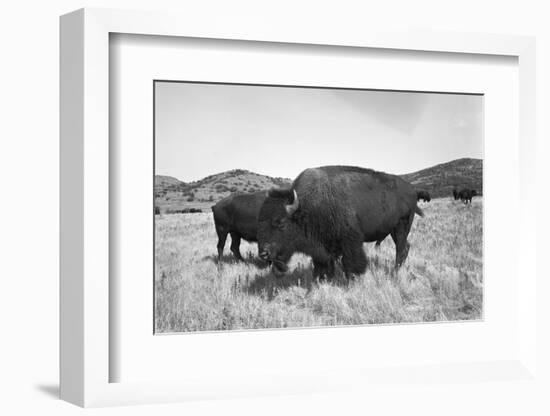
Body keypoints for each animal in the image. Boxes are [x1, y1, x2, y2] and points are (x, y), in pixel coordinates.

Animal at [256, 166, 424, 280]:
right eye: (260, 223)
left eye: (281, 223)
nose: (264, 253)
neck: (306, 207)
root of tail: (412, 190)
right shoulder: (323, 248)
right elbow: (323, 265)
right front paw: (323, 279)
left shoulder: (351, 241)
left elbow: (350, 263)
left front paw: (351, 280)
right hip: (394, 230)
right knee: (405, 247)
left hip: (402, 227)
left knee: (400, 249)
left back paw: (394, 273)